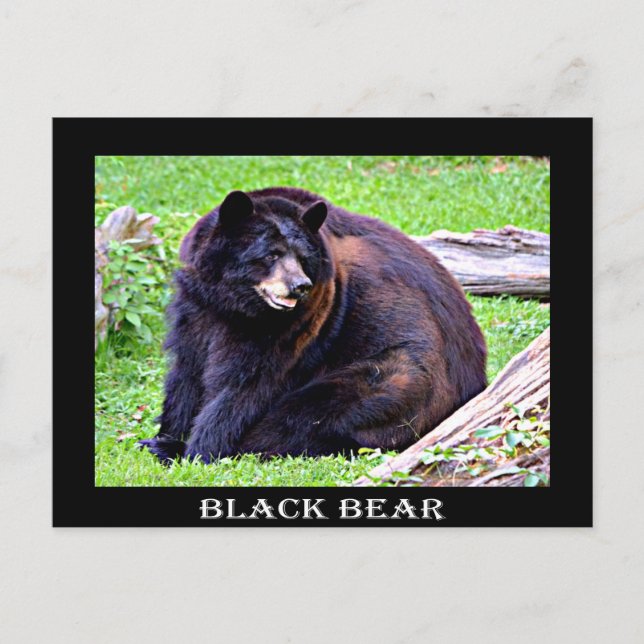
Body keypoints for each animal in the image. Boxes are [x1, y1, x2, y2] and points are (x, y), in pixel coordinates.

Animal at [139, 187, 487, 464]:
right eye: (271, 255)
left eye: (302, 257)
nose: (299, 286)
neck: (236, 304)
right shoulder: (197, 306)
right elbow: (188, 370)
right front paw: (168, 434)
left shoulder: (304, 320)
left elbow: (243, 384)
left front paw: (193, 449)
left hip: (401, 378)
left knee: (312, 411)